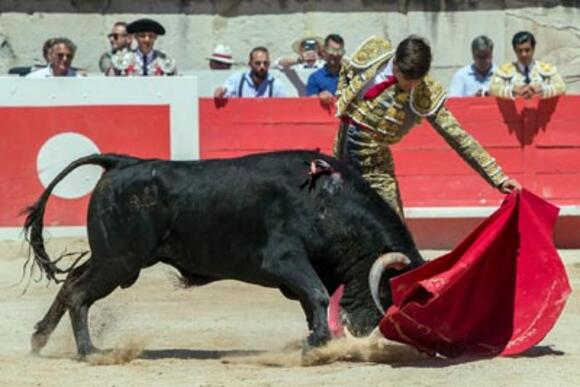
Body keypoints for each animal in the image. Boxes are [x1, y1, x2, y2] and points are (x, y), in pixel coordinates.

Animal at [23, 152, 422, 358]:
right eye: (388, 292)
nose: (366, 332)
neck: (327, 200)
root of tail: (123, 162)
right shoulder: (284, 259)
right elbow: (319, 295)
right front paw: (315, 345)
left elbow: (312, 303)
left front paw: (312, 340)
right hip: (120, 260)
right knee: (78, 292)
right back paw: (90, 351)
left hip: (110, 257)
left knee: (71, 284)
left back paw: (40, 339)